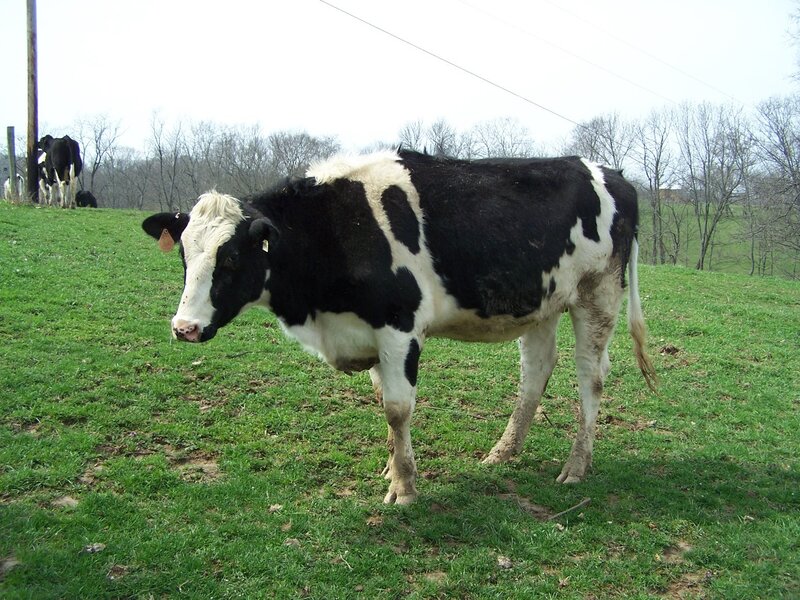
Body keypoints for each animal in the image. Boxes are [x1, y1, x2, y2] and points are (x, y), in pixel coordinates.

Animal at [142, 150, 657, 505]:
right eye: (185, 254)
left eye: (230, 258)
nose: (184, 327)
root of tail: (613, 173)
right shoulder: (367, 332)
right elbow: (382, 405)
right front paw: (392, 469)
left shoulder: (399, 328)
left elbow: (396, 409)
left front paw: (404, 488)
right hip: (541, 302)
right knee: (536, 371)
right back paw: (503, 452)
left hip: (597, 294)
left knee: (591, 376)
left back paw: (576, 465)